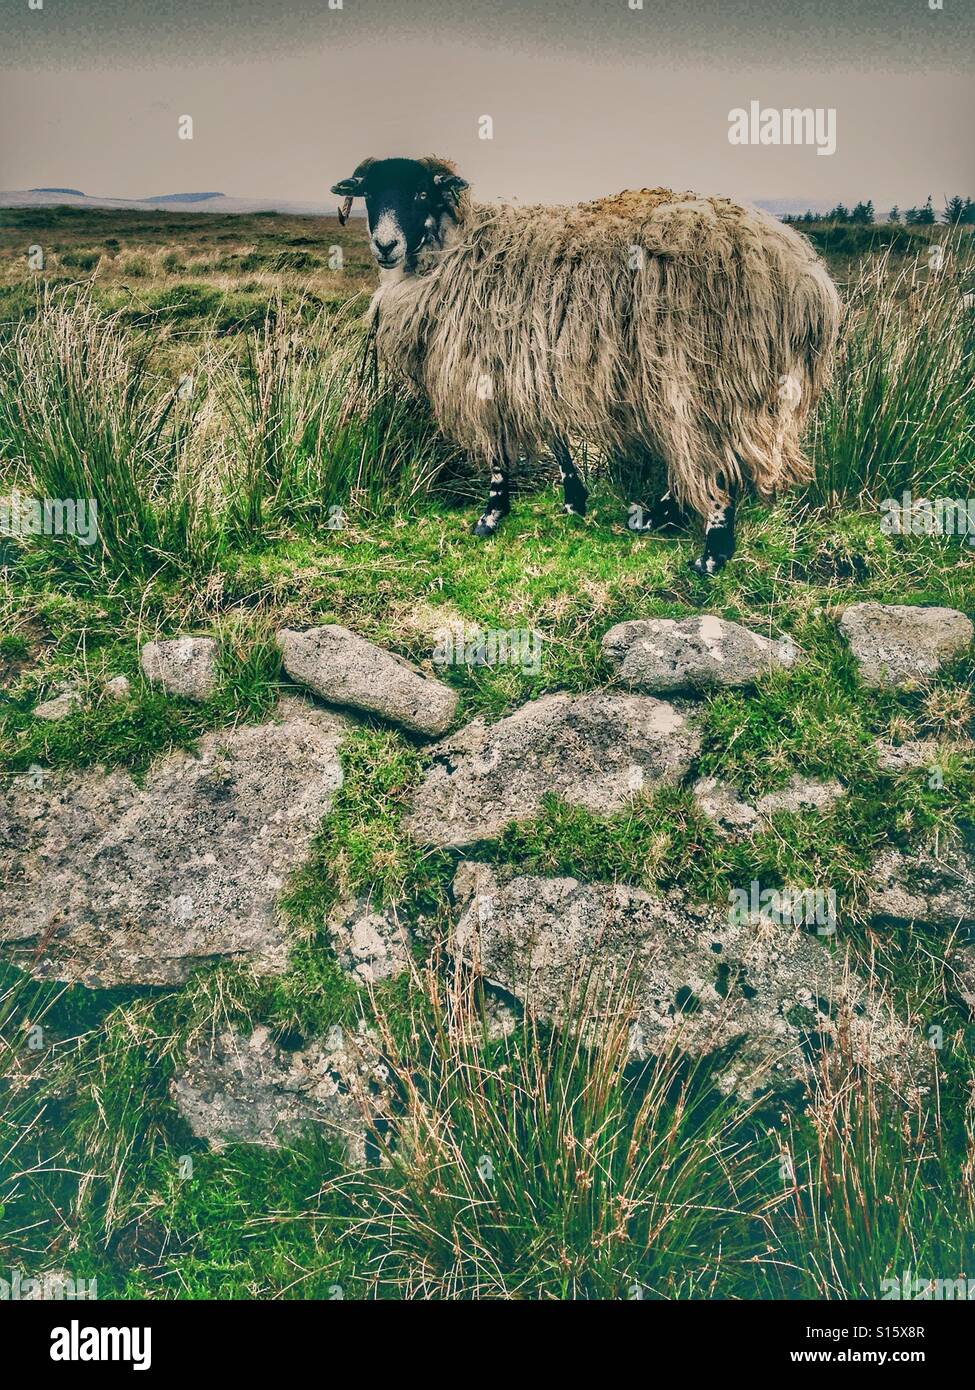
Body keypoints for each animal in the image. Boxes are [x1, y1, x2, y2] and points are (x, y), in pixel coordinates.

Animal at [332, 157, 834, 575]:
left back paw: (711, 552)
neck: (454, 249)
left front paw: (492, 514)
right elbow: (555, 436)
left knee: (713, 456)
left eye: (420, 193)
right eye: (370, 193)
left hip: (703, 369)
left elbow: (497, 450)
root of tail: (800, 274)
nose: (385, 246)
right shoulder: (532, 360)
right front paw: (574, 498)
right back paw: (661, 516)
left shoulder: (487, 363)